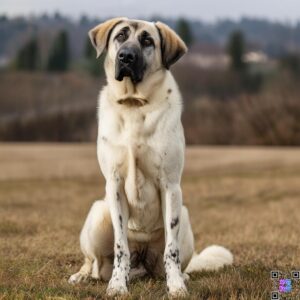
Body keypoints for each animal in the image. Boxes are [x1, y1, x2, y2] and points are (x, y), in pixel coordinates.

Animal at [69, 17, 233, 296]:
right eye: (120, 36)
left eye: (148, 41)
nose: (126, 56)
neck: (135, 102)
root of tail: (142, 262)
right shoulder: (114, 185)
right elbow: (120, 247)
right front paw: (117, 286)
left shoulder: (170, 186)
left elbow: (171, 251)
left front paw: (176, 286)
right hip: (99, 213)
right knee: (94, 264)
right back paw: (83, 276)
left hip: (184, 215)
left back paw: (182, 276)